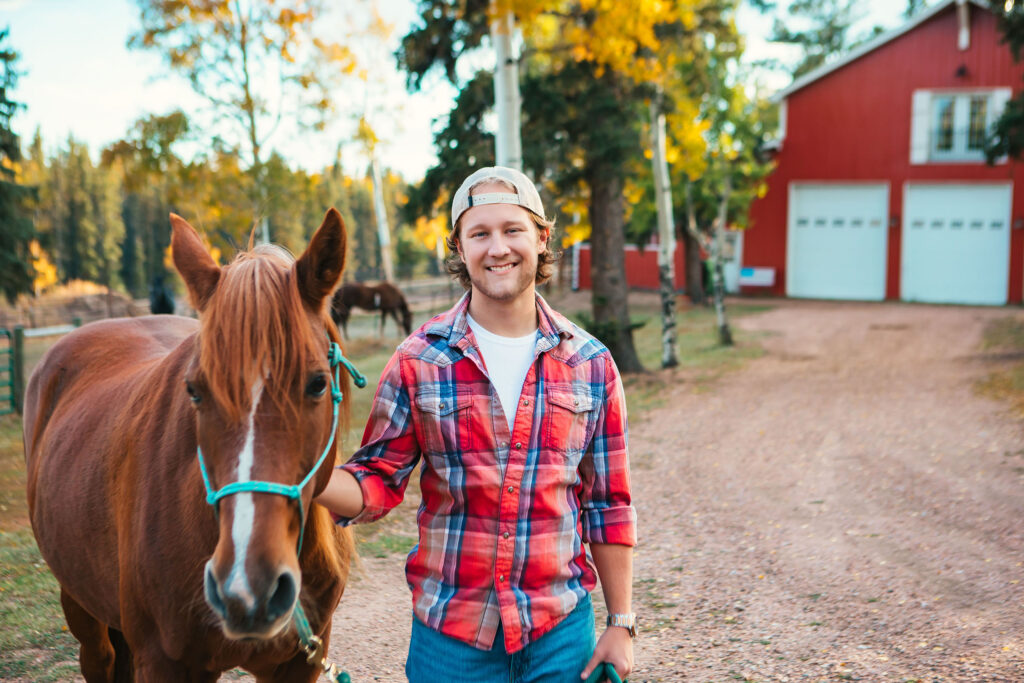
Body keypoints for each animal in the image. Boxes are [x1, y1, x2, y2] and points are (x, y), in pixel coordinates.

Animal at [22, 210, 358, 679]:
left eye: (317, 384)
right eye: (195, 391)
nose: (247, 587)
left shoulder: (300, 661)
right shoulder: (164, 663)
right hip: (80, 607)